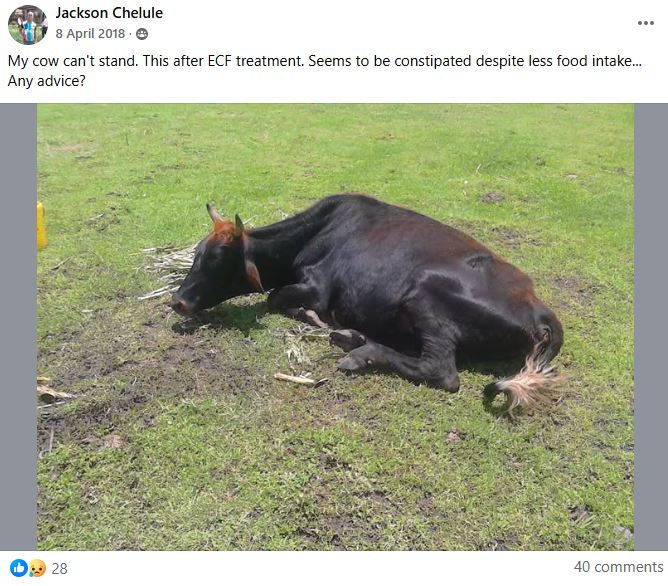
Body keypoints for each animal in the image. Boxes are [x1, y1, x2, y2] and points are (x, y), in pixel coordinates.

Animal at [171, 194, 564, 414]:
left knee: (441, 371)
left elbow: (276, 298)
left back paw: (359, 352)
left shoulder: (317, 287)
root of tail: (537, 307)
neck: (317, 232)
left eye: (217, 259)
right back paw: (351, 338)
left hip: (425, 298)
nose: (177, 301)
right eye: (197, 253)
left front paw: (314, 318)